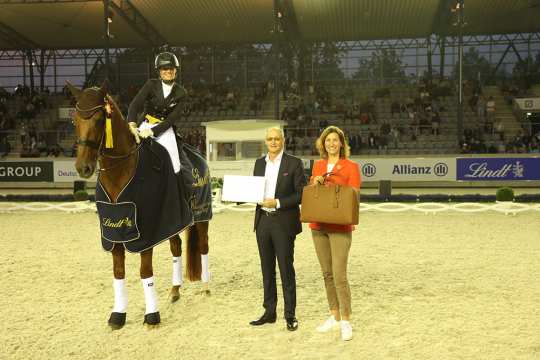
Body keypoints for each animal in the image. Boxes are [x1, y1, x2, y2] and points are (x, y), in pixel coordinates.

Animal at [67, 81, 211, 330]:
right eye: (75, 119)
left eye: (99, 119)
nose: (83, 168)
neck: (120, 172)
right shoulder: (114, 233)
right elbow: (118, 273)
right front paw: (117, 315)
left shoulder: (147, 234)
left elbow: (145, 272)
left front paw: (152, 316)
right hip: (173, 220)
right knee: (176, 247)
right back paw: (175, 290)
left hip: (201, 216)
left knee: (203, 246)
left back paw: (206, 287)